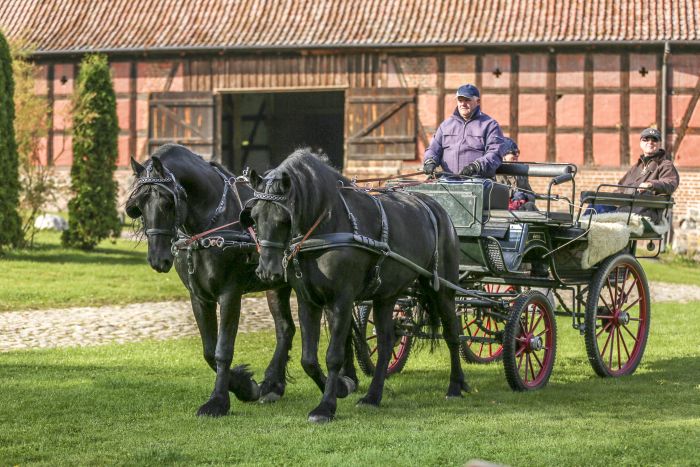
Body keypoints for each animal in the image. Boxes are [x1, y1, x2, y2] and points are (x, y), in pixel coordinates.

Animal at [124, 144, 296, 418]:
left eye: (167, 202)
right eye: (139, 204)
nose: (158, 259)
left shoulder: (230, 294)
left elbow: (223, 350)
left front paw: (218, 401)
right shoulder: (199, 296)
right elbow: (208, 351)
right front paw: (245, 386)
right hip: (277, 284)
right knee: (285, 329)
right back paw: (273, 385)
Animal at [243, 150, 468, 424]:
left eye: (284, 218)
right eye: (254, 217)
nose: (267, 270)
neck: (327, 223)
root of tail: (436, 207)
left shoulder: (342, 299)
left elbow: (333, 355)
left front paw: (326, 406)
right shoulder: (308, 300)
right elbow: (308, 359)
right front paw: (340, 387)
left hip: (442, 290)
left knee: (452, 334)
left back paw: (455, 386)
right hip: (386, 296)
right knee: (386, 343)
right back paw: (373, 396)